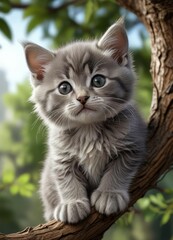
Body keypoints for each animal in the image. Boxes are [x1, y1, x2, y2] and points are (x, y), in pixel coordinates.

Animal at [23, 19, 146, 224]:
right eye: (64, 88)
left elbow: (119, 168)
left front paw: (109, 194)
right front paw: (71, 203)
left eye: (98, 81)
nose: (82, 98)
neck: (89, 129)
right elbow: (66, 179)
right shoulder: (60, 156)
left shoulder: (133, 143)